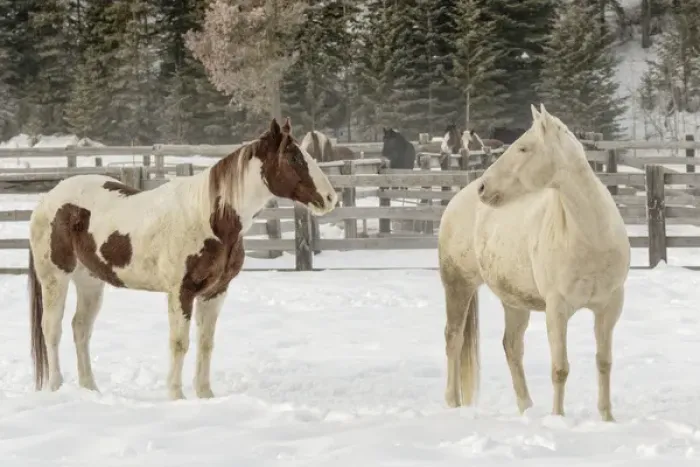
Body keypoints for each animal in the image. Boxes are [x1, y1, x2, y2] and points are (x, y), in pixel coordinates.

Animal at [28, 117, 338, 400]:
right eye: (294, 157)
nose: (331, 198)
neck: (209, 219)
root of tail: (47, 199)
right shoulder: (181, 292)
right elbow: (180, 343)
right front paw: (176, 396)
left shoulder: (215, 292)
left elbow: (205, 343)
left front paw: (205, 394)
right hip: (55, 278)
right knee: (51, 329)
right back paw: (56, 387)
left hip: (90, 282)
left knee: (80, 329)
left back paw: (90, 388)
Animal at [437, 104, 630, 422]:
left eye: (524, 147)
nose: (484, 188)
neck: (589, 237)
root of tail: (456, 201)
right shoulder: (557, 309)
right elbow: (560, 368)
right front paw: (558, 418)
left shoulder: (609, 307)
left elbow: (604, 362)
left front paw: (607, 418)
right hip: (458, 285)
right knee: (453, 339)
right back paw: (452, 403)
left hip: (513, 302)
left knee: (512, 347)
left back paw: (526, 407)